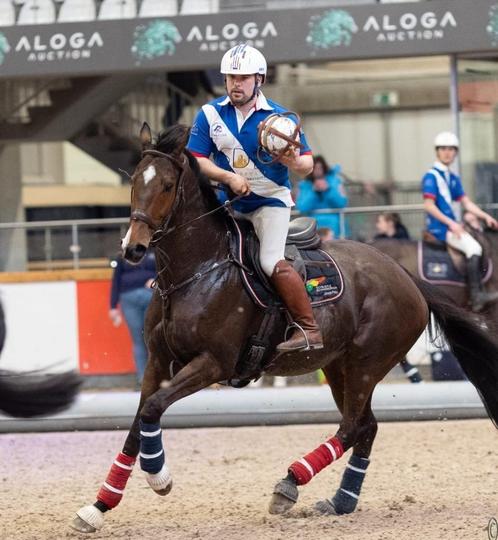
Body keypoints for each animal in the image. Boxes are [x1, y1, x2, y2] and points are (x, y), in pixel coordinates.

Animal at [72, 124, 498, 532]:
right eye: (133, 183)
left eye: (165, 185)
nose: (133, 249)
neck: (196, 272)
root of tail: (406, 277)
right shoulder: (159, 362)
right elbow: (139, 420)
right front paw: (98, 506)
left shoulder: (212, 363)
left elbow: (153, 409)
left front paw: (158, 476)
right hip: (339, 367)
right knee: (366, 427)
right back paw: (341, 501)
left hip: (366, 363)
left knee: (351, 427)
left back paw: (290, 483)